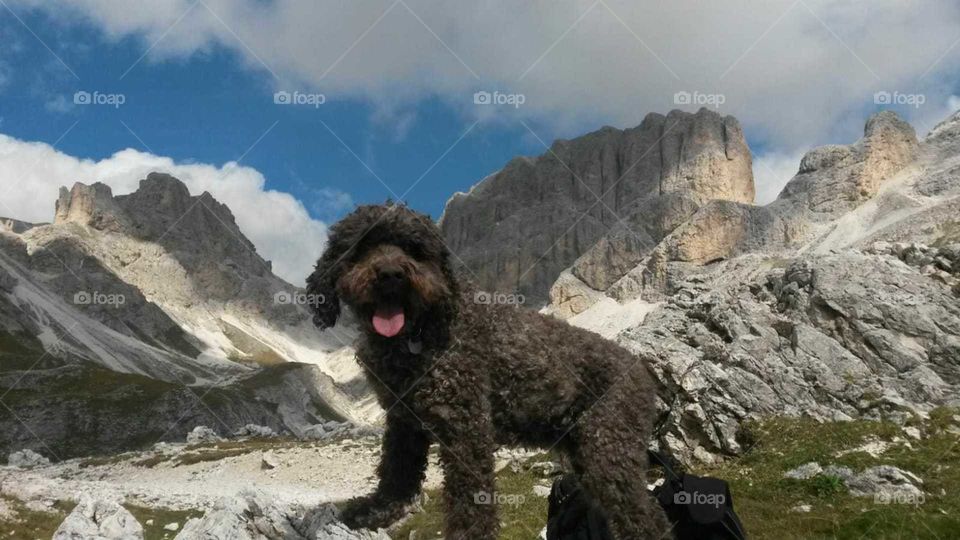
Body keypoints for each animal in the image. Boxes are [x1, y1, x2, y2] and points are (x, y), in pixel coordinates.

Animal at [308, 204, 668, 540]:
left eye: (415, 249)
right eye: (361, 247)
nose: (391, 275)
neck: (419, 332)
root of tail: (642, 370)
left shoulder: (466, 426)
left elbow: (470, 498)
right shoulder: (403, 421)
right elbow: (396, 473)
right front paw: (375, 511)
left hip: (608, 450)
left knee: (647, 518)